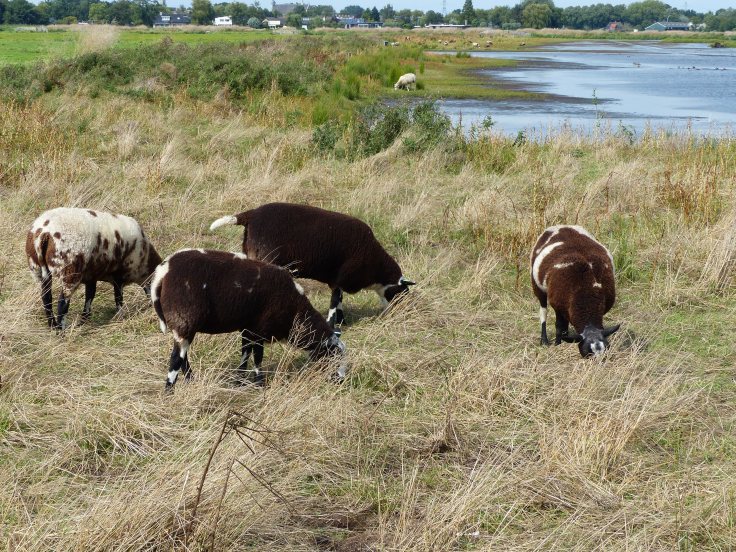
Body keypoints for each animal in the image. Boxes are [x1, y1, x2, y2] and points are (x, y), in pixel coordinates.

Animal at [26, 207, 162, 329]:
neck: (144, 259)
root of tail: (44, 233)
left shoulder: (91, 276)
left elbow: (90, 297)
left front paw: (84, 320)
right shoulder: (119, 274)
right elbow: (118, 298)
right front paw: (121, 316)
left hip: (37, 269)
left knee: (46, 297)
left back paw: (52, 326)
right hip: (69, 270)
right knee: (62, 302)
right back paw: (61, 330)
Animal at [151, 249, 346, 389]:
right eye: (334, 356)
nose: (341, 381)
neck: (295, 314)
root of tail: (163, 273)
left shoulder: (248, 328)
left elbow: (245, 354)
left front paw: (239, 381)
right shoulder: (261, 329)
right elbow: (258, 357)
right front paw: (260, 384)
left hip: (183, 325)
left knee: (183, 358)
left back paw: (191, 381)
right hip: (184, 320)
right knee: (176, 359)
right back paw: (169, 392)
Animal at [209, 202, 415, 328]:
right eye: (401, 293)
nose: (402, 315)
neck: (376, 269)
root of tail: (251, 215)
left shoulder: (336, 279)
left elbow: (339, 302)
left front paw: (342, 322)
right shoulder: (341, 278)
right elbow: (334, 303)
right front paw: (334, 324)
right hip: (268, 258)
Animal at [530, 225, 620, 357]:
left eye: (606, 348)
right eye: (587, 352)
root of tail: (563, 226)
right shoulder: (557, 304)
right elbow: (558, 326)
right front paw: (557, 344)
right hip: (537, 285)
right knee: (543, 312)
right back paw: (544, 341)